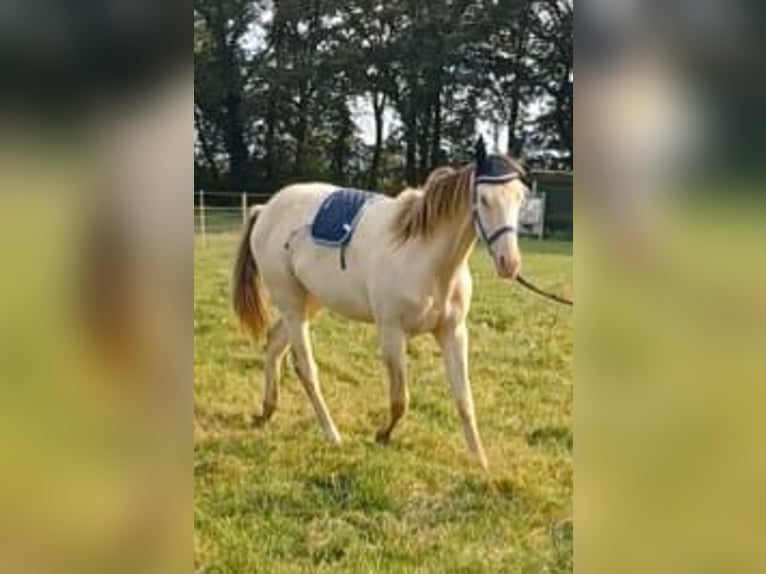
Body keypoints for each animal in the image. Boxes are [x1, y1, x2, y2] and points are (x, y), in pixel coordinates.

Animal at [232, 142, 528, 470]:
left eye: (520, 198)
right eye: (484, 199)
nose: (509, 263)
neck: (424, 256)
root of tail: (266, 209)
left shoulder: (453, 333)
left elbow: (464, 399)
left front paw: (480, 460)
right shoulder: (392, 333)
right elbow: (401, 400)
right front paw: (382, 435)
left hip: (309, 302)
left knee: (273, 345)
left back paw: (267, 411)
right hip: (292, 304)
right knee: (305, 367)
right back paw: (332, 433)